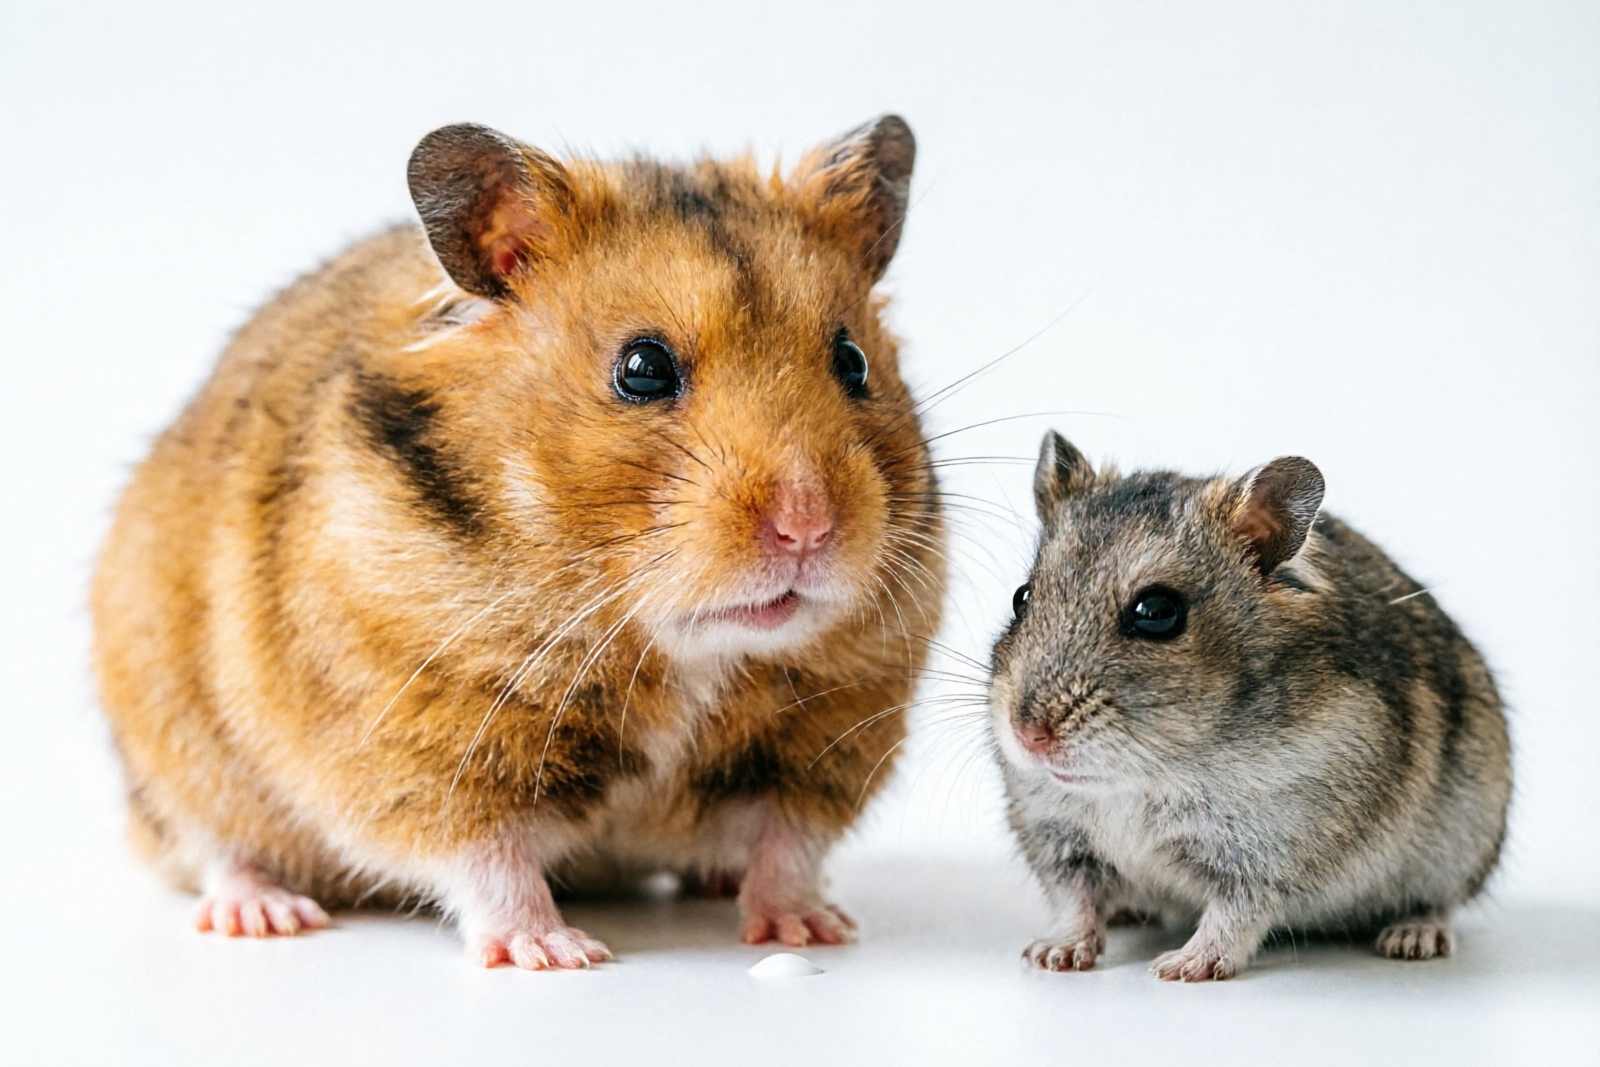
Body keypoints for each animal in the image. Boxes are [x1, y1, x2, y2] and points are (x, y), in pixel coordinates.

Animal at [91, 116, 945, 969]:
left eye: (853, 361)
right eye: (642, 368)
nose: (809, 527)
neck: (675, 646)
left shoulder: (826, 737)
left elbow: (787, 845)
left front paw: (815, 928)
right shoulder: (423, 739)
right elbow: (487, 856)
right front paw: (556, 951)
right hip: (172, 737)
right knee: (212, 843)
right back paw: (266, 912)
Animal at [987, 432, 1510, 981]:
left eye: (1156, 612)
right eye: (1022, 597)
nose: (1028, 735)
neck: (1143, 777)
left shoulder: (1272, 854)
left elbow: (1235, 916)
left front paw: (1179, 968)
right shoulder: (1058, 840)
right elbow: (1075, 903)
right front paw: (1051, 956)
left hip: (1461, 846)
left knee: (1439, 901)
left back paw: (1412, 938)